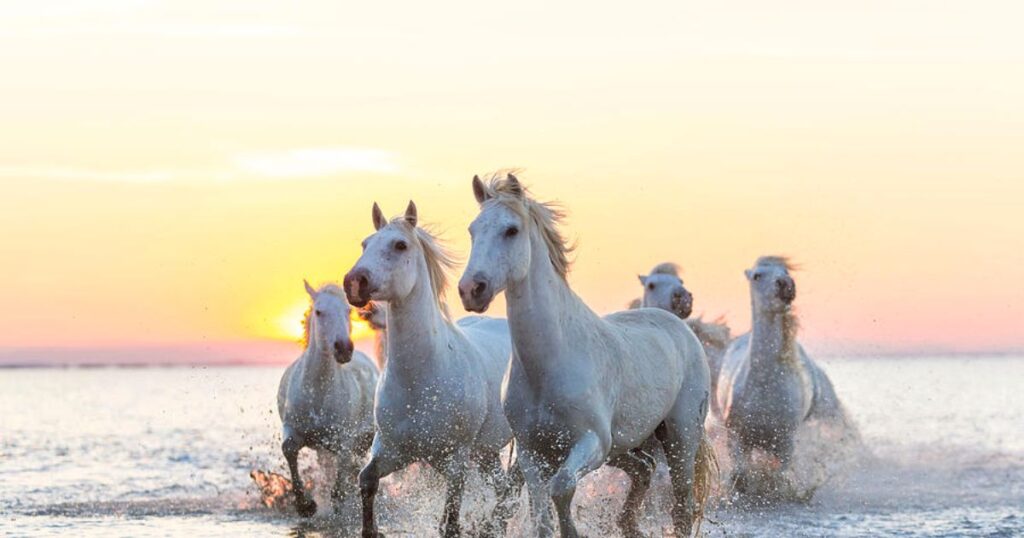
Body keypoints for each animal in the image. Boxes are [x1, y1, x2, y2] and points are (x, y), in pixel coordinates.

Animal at [276, 278, 380, 514]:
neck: (318, 392)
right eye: (319, 312)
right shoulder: (292, 428)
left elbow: (341, 477)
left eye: (348, 311)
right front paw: (305, 504)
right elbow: (289, 449)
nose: (343, 348)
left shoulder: (344, 438)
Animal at [344, 199, 520, 536]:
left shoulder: (455, 463)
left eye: (400, 245)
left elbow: (450, 522)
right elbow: (367, 481)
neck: (421, 379)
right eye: (364, 244)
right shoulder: (393, 450)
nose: (354, 283)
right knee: (503, 489)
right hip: (486, 453)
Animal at [460, 174, 716, 532]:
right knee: (644, 469)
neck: (549, 364)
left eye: (511, 230)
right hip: (627, 445)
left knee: (682, 506)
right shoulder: (531, 453)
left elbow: (562, 488)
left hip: (680, 439)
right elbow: (541, 517)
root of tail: (682, 329)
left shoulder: (591, 442)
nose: (471, 290)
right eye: (473, 230)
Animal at [712, 258, 847, 498]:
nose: (785, 285)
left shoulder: (784, 443)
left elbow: (778, 477)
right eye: (757, 275)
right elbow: (741, 476)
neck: (765, 385)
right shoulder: (736, 437)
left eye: (785, 271)